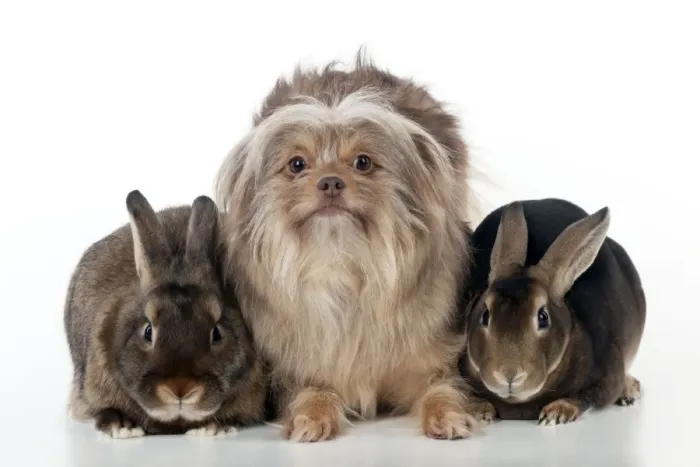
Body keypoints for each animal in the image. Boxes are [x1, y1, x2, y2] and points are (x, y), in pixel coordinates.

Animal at [458, 198, 646, 425]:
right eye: (485, 315)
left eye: (543, 317)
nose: (508, 375)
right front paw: (481, 411)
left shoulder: (607, 378)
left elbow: (588, 398)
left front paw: (556, 413)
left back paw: (630, 390)